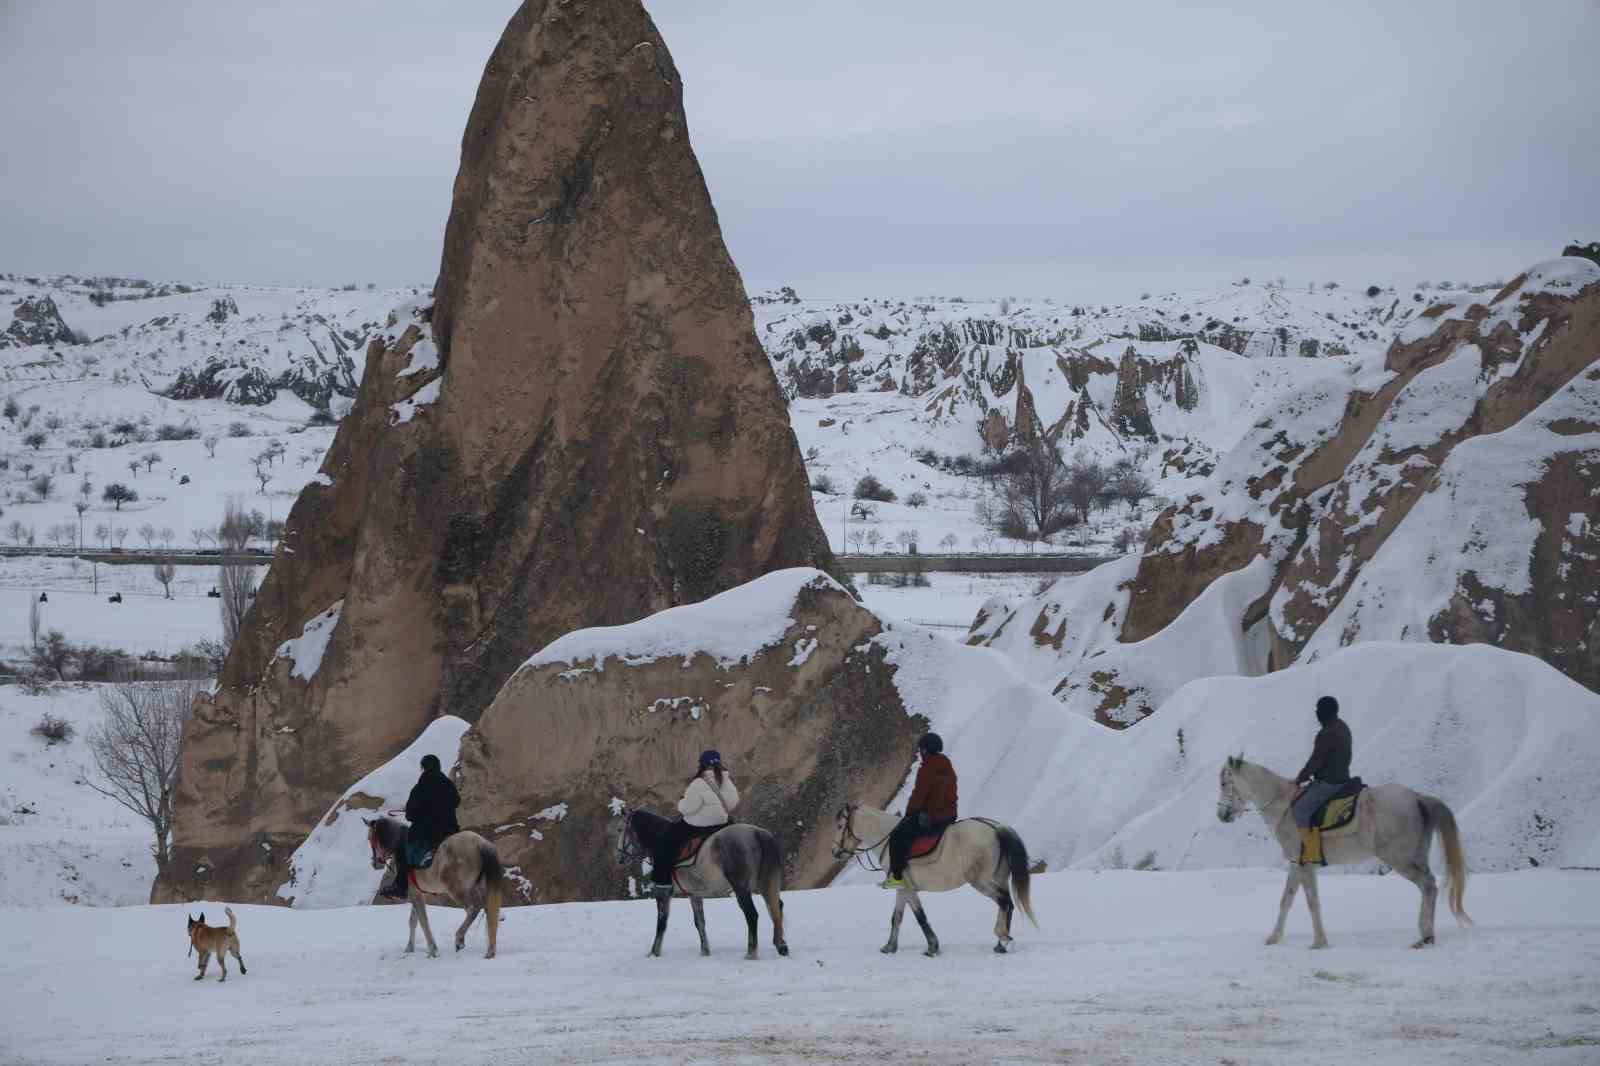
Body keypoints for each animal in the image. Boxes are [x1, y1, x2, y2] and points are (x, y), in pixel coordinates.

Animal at [366, 813, 502, 953]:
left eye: (370, 838)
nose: (375, 863)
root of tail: (480, 843)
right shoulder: (418, 893)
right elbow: (413, 921)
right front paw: (409, 948)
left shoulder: (415, 895)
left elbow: (423, 921)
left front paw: (432, 950)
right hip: (479, 888)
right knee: (488, 911)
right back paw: (489, 949)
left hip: (457, 890)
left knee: (473, 908)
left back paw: (459, 938)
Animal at [611, 809, 787, 960]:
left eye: (619, 829)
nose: (619, 857)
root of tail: (758, 834)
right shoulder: (694, 895)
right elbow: (699, 922)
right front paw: (705, 951)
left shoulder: (663, 892)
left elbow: (662, 922)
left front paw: (654, 952)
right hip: (765, 885)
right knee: (776, 907)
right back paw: (781, 945)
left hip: (741, 889)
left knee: (752, 915)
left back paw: (751, 953)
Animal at [1222, 755, 1472, 947]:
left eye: (1224, 782)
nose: (1221, 814)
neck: (1284, 806)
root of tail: (1417, 798)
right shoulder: (1298, 864)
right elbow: (1288, 900)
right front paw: (1275, 938)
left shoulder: (1303, 865)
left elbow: (1311, 902)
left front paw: (1318, 942)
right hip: (1417, 856)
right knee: (1430, 887)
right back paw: (1426, 936)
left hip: (1400, 859)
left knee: (1428, 885)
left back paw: (1425, 935)